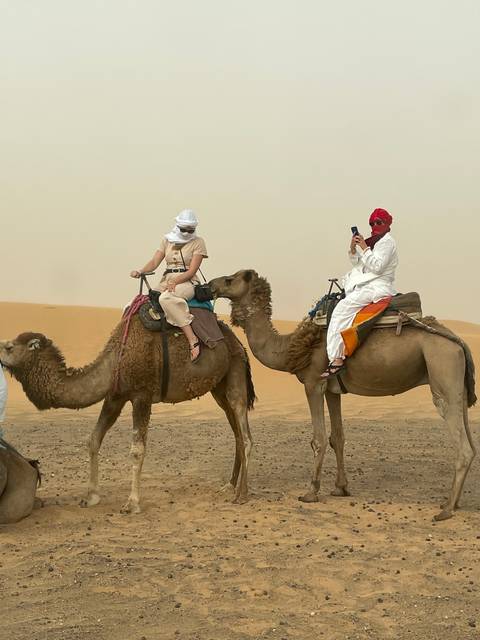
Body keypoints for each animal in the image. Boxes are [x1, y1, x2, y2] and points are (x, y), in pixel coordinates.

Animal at [0, 316, 256, 514]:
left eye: (9, 347)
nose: (0, 351)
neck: (115, 360)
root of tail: (237, 341)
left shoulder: (142, 395)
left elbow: (137, 450)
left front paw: (132, 504)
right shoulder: (115, 396)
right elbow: (93, 439)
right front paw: (91, 497)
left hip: (235, 369)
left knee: (244, 430)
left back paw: (241, 494)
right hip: (218, 387)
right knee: (235, 430)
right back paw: (229, 485)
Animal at [209, 270, 477, 520]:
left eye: (231, 279)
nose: (210, 285)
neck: (290, 347)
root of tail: (458, 342)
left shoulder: (313, 383)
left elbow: (318, 438)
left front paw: (311, 492)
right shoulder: (332, 389)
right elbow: (337, 437)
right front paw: (340, 488)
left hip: (442, 368)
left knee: (462, 444)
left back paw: (446, 509)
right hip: (458, 385)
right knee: (471, 442)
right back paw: (453, 503)